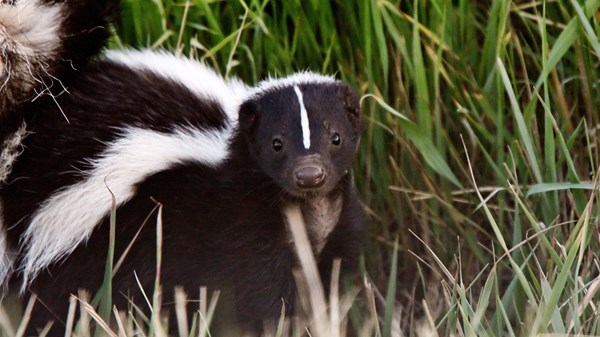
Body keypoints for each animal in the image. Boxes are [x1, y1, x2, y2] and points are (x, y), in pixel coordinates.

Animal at [1, 0, 366, 334]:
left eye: (335, 138)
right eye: (276, 144)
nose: (309, 176)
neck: (306, 210)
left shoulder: (336, 227)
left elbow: (335, 285)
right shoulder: (239, 225)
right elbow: (261, 294)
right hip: (81, 246)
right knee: (63, 304)